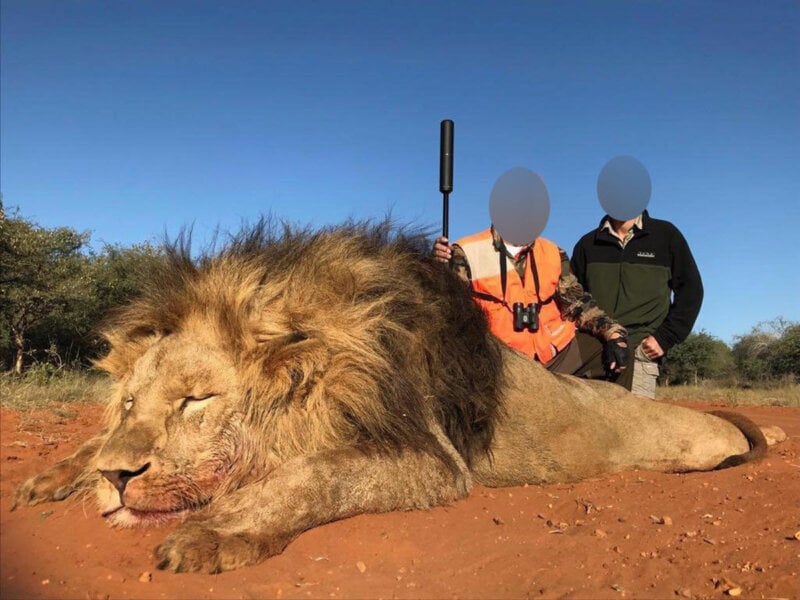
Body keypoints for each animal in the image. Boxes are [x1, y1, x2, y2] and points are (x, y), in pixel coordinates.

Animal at [12, 219, 780, 572]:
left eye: (196, 401)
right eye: (130, 403)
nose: (118, 477)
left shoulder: (434, 462)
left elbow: (313, 476)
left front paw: (217, 532)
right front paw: (58, 475)